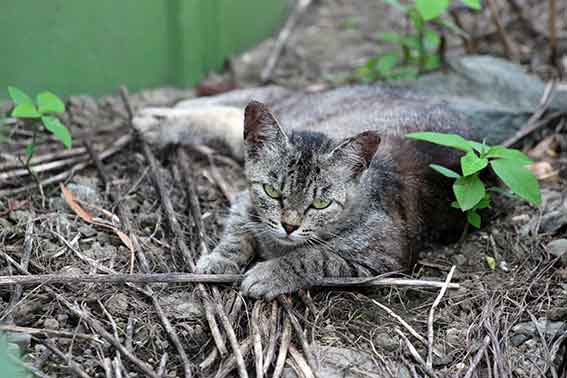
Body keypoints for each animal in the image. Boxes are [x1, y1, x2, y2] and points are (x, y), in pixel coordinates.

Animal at [133, 85, 496, 298]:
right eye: (272, 191)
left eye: (321, 203)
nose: (289, 225)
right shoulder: (243, 202)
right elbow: (237, 234)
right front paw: (220, 259)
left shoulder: (385, 258)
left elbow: (313, 256)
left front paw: (269, 274)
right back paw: (157, 119)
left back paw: (156, 121)